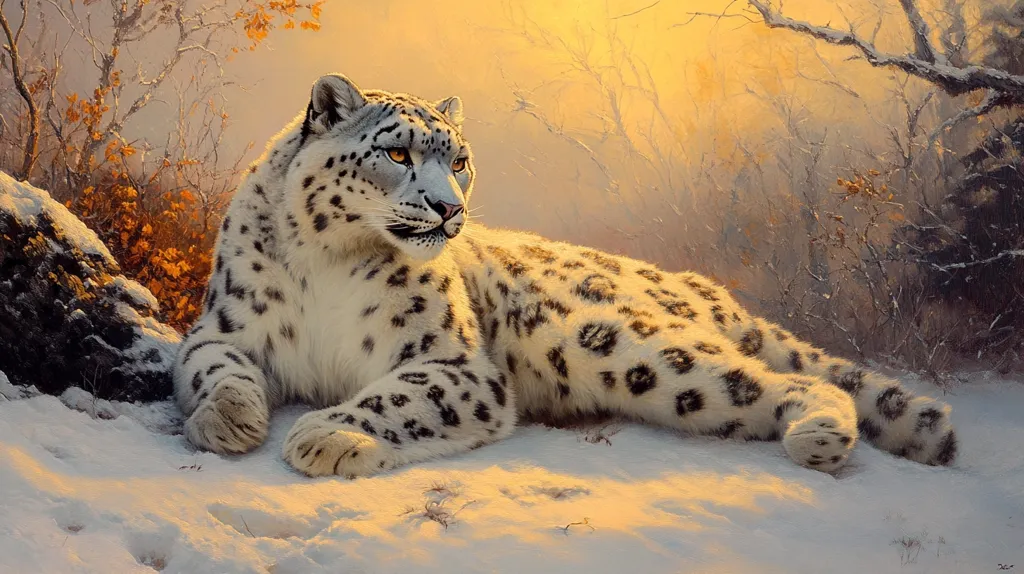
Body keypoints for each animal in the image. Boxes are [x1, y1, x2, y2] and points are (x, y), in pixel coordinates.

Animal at [172, 73, 958, 478]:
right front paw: (231, 418)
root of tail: (706, 288)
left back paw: (818, 435)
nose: (449, 208)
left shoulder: (455, 363)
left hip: (611, 342)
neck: (331, 263)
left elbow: (400, 394)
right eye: (397, 154)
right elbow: (211, 366)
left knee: (779, 378)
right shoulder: (224, 326)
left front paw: (326, 435)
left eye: (459, 159)